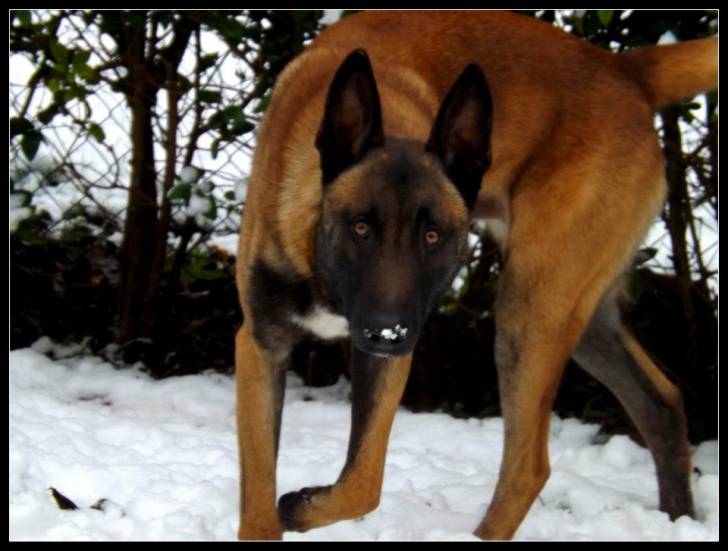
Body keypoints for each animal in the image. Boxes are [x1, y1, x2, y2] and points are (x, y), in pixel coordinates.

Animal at [234, 11, 717, 540]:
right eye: (360, 227)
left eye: (433, 236)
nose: (388, 332)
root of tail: (625, 70)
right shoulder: (261, 346)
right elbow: (263, 494)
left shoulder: (388, 357)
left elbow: (364, 480)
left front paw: (301, 507)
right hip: (581, 319)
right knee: (661, 403)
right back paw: (678, 516)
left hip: (529, 310)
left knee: (529, 467)